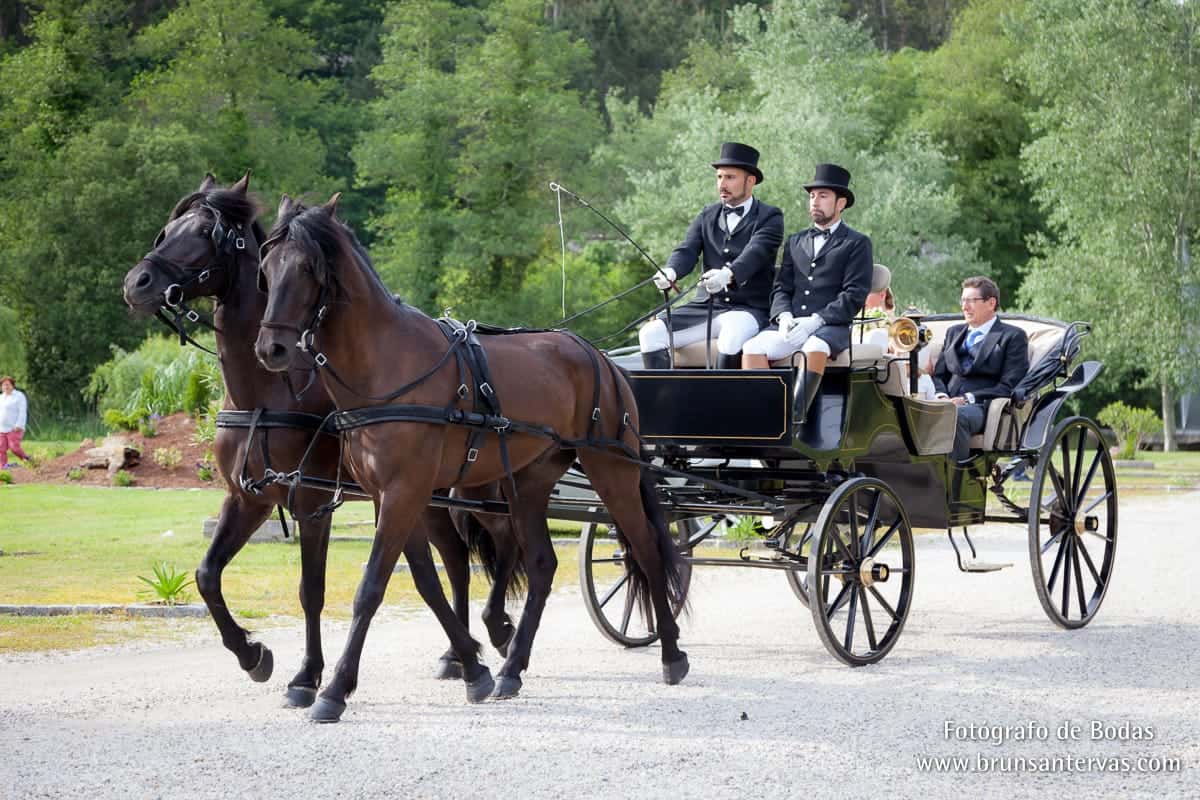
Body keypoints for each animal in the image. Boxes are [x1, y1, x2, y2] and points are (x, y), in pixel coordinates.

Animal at [121, 174, 520, 707]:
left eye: (208, 232)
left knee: (502, 542)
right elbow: (207, 575)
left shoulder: (311, 501)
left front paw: (307, 677)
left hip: (474, 487)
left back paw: (497, 631)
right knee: (456, 561)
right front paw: (252, 655)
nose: (137, 283)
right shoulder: (247, 499)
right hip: (428, 496)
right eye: (168, 230)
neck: (267, 392)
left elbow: (311, 589)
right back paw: (458, 655)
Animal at [253, 193, 689, 722]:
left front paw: (334, 690)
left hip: (613, 471)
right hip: (529, 483)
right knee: (542, 564)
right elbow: (426, 580)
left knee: (645, 550)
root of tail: (601, 359)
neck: (385, 365)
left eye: (307, 268)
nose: (271, 348)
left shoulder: (405, 493)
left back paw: (671, 654)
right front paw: (473, 668)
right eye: (266, 268)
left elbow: (372, 587)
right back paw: (512, 669)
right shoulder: (391, 496)